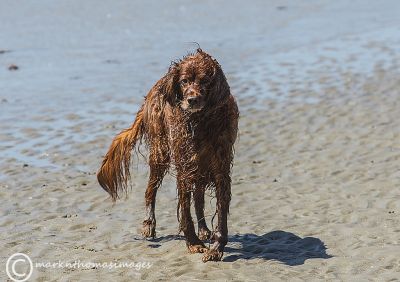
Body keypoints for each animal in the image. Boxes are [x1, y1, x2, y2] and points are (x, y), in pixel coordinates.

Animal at [98, 49, 239, 262]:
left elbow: (220, 213)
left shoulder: (220, 168)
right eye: (184, 81)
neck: (200, 121)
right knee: (150, 190)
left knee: (198, 197)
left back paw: (204, 229)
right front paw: (193, 243)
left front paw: (215, 248)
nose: (192, 100)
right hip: (160, 153)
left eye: (205, 81)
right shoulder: (184, 167)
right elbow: (185, 210)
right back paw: (149, 223)